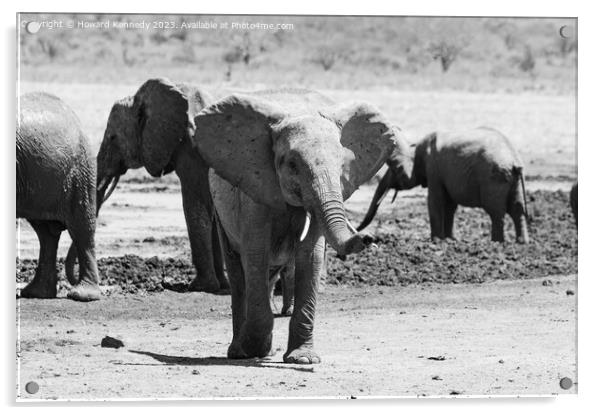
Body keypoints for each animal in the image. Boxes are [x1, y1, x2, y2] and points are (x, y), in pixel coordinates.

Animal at [91, 77, 227, 292]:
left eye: (112, 137)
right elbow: (212, 212)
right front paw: (221, 286)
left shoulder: (192, 150)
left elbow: (196, 205)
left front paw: (200, 287)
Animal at [192, 88, 396, 364]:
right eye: (291, 164)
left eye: (342, 164)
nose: (368, 239)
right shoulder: (254, 187)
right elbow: (256, 252)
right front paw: (254, 350)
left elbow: (310, 256)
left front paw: (303, 359)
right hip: (222, 209)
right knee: (238, 270)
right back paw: (240, 352)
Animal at [358, 127, 528, 244]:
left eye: (395, 167)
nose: (367, 237)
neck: (416, 146)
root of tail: (515, 161)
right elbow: (450, 206)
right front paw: (450, 239)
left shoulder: (433, 168)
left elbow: (435, 201)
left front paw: (436, 241)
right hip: (511, 180)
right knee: (517, 208)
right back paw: (521, 242)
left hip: (493, 179)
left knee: (496, 212)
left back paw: (496, 242)